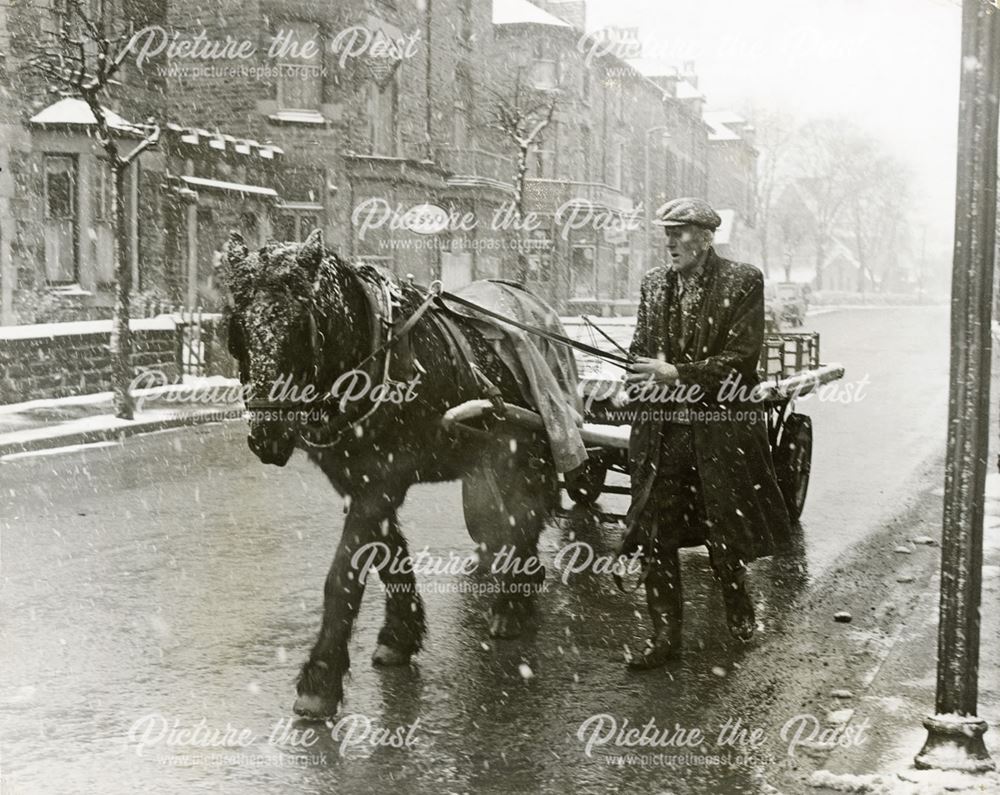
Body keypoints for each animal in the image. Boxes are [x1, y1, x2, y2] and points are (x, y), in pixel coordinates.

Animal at [219, 230, 564, 720]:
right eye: (238, 331)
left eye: (301, 326)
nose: (266, 435)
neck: (370, 354)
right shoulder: (357, 480)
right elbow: (388, 555)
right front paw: (400, 635)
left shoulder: (383, 481)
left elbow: (343, 576)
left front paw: (320, 680)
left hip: (527, 450)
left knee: (525, 513)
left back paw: (511, 603)